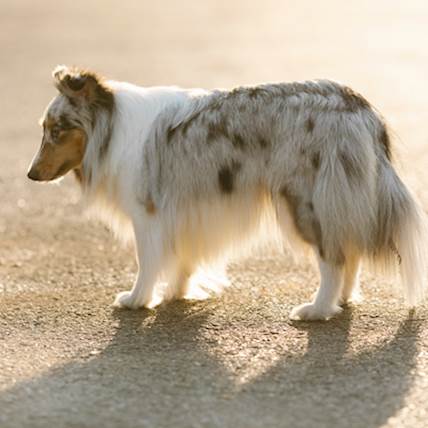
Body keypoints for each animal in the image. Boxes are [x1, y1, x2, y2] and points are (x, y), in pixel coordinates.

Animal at [27, 66, 428, 320]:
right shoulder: (184, 211)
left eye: (57, 130)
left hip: (306, 199)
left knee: (334, 257)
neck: (111, 128)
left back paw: (317, 309)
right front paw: (178, 292)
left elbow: (146, 261)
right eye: (44, 129)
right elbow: (183, 258)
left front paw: (137, 299)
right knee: (349, 248)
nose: (30, 174)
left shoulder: (148, 213)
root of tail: (363, 109)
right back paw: (342, 301)